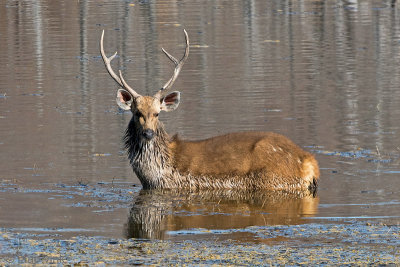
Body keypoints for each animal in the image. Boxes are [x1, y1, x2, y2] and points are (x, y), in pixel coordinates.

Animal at [100, 29, 318, 193]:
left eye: (157, 113)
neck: (156, 174)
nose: (148, 133)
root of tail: (308, 162)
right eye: (137, 113)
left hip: (272, 179)